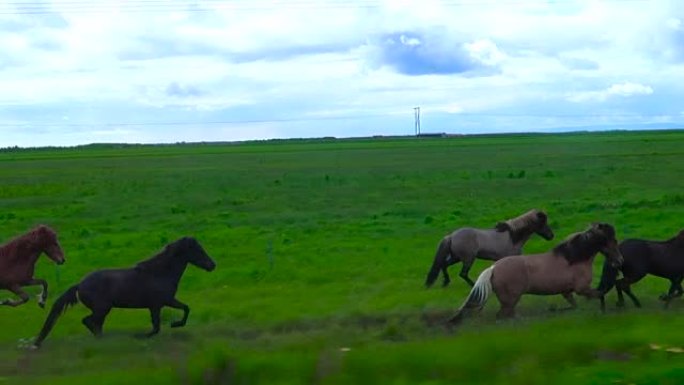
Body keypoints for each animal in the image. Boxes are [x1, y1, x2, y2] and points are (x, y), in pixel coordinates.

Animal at [30, 236, 214, 346]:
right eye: (198, 250)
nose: (212, 265)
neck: (160, 273)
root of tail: (80, 284)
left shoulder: (159, 304)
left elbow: (179, 312)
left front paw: (171, 325)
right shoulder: (161, 303)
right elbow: (160, 325)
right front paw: (166, 327)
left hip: (103, 310)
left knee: (95, 324)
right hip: (102, 308)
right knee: (89, 321)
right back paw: (102, 340)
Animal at [424, 208, 552, 286]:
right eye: (543, 223)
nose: (551, 236)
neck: (513, 237)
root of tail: (451, 236)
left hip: (456, 257)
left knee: (444, 265)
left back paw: (446, 282)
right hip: (468, 258)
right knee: (463, 273)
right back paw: (473, 285)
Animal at [448, 222, 624, 324]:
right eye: (613, 240)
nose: (620, 260)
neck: (574, 258)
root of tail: (493, 268)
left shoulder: (567, 292)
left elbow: (575, 306)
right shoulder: (582, 289)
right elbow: (599, 294)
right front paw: (606, 309)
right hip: (510, 300)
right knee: (502, 316)